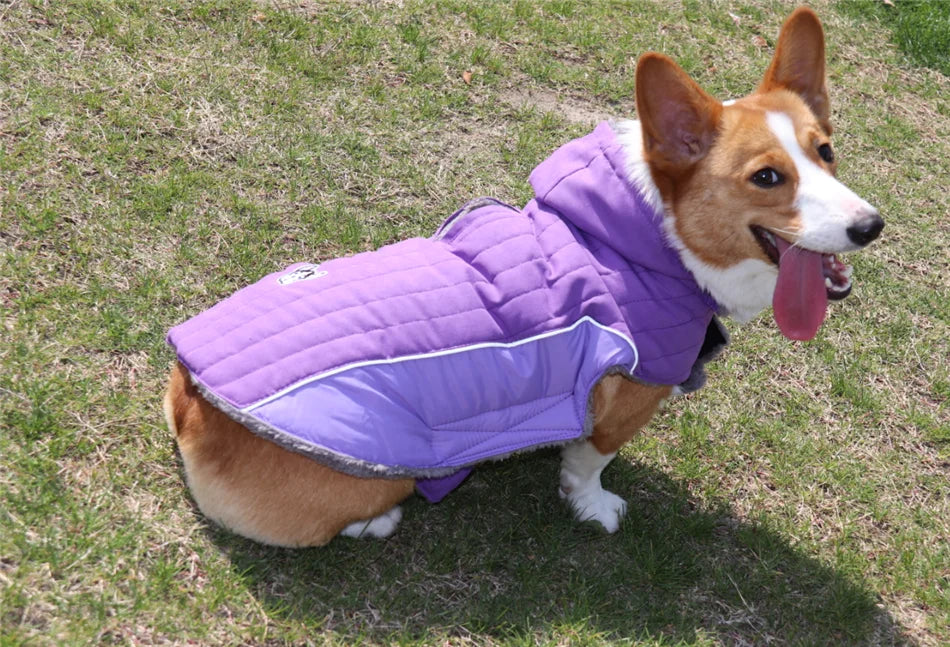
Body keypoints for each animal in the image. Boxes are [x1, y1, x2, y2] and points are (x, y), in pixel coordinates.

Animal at [164, 7, 884, 548]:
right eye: (767, 176)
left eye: (826, 151)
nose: (871, 225)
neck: (657, 234)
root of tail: (188, 397)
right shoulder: (632, 391)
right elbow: (591, 459)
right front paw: (595, 505)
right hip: (381, 468)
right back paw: (378, 521)